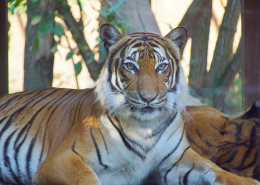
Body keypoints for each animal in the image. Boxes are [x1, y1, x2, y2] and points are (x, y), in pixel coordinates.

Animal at [0, 23, 258, 185]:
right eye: (130, 66)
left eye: (161, 67)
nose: (148, 98)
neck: (145, 128)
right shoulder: (61, 159)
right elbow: (87, 180)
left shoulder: (177, 160)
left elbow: (215, 170)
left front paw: (246, 181)